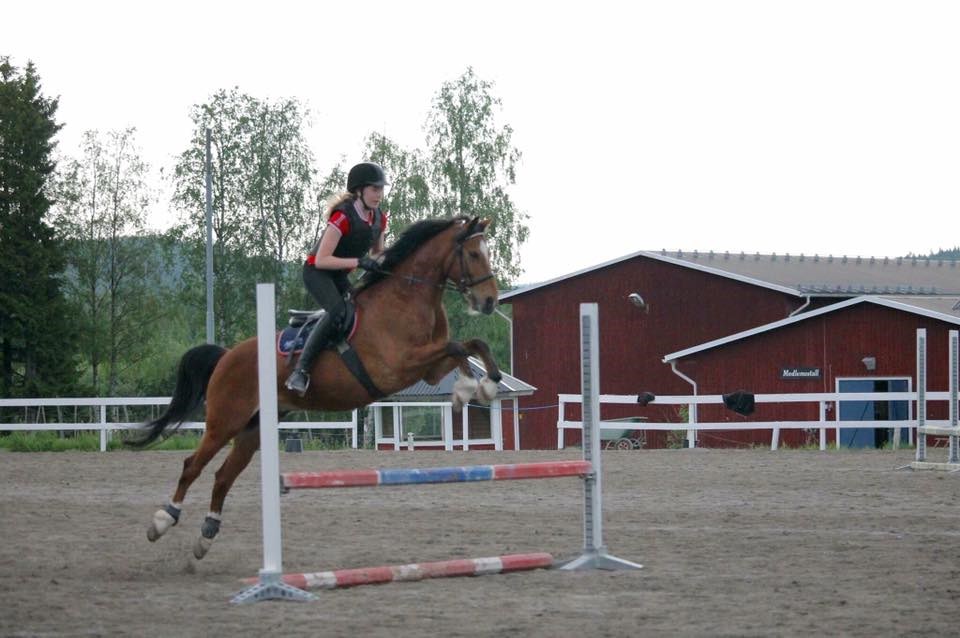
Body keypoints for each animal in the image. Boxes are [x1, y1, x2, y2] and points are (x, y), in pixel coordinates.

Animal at [127, 216, 503, 560]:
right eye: (473, 254)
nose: (489, 301)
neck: (405, 298)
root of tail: (226, 355)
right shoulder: (398, 366)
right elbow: (457, 346)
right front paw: (473, 387)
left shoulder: (429, 368)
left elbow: (471, 345)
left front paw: (482, 385)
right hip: (225, 421)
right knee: (193, 465)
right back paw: (163, 520)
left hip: (253, 429)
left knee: (223, 475)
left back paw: (206, 534)